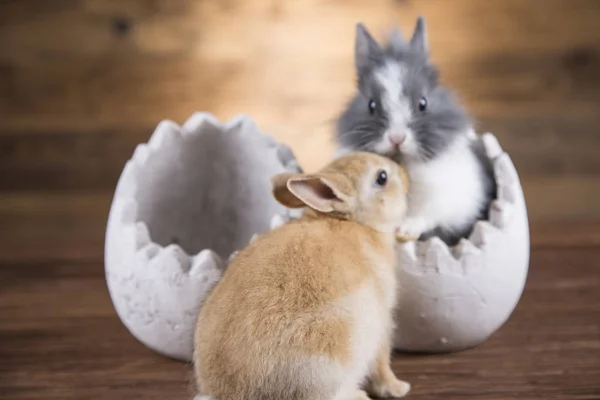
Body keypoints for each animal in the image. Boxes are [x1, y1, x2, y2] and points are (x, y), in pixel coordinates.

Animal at [195, 152, 410, 398]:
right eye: (382, 177)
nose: (405, 174)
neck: (355, 221)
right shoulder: (382, 323)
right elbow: (381, 364)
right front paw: (399, 388)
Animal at [336, 17, 494, 245]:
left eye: (423, 103)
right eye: (371, 105)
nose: (397, 138)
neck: (404, 163)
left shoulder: (450, 200)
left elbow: (427, 216)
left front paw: (406, 230)